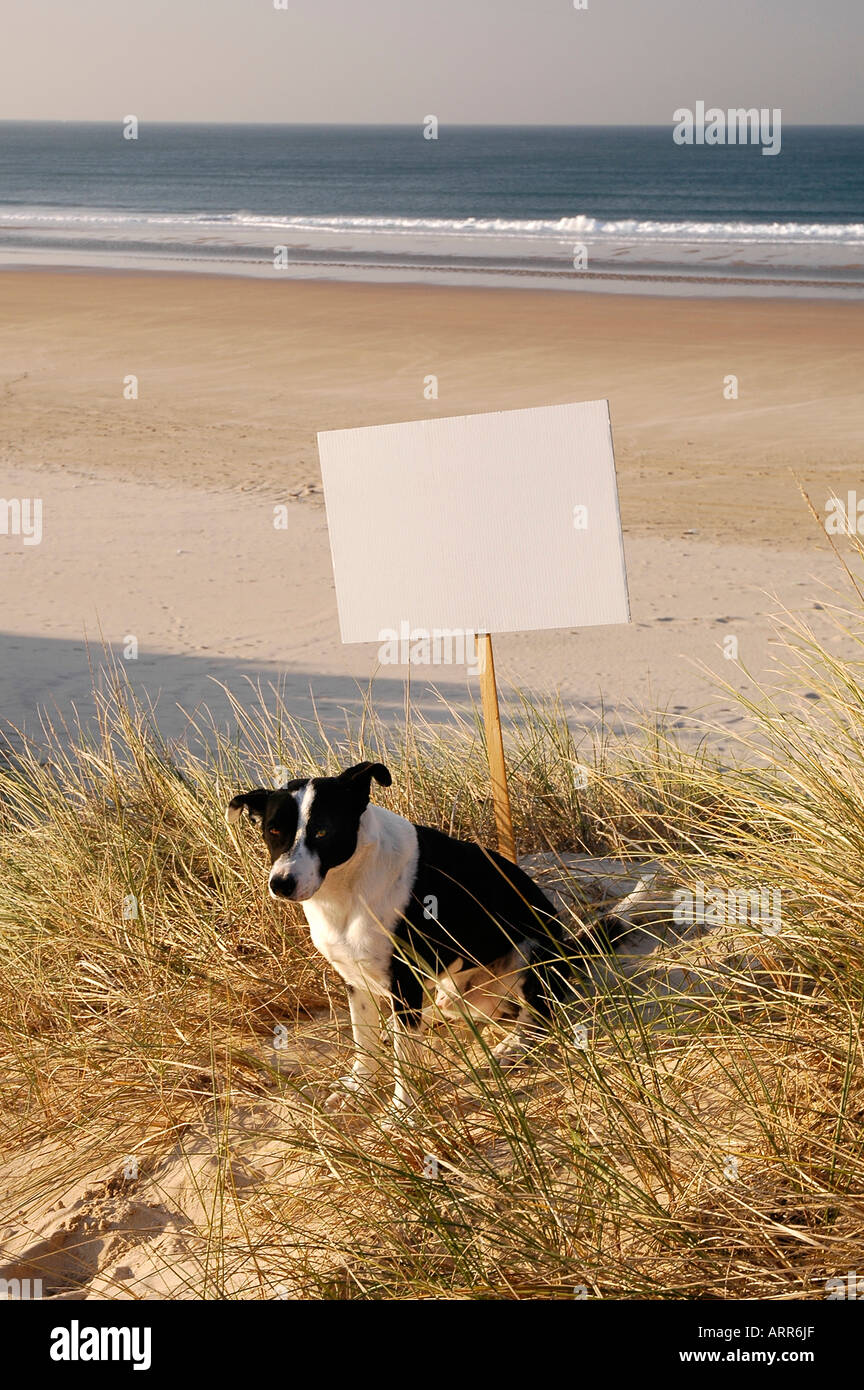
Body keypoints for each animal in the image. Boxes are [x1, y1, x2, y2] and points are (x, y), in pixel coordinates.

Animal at [223, 761, 616, 1117]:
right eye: (273, 831)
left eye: (321, 831)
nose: (281, 884)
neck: (347, 886)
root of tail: (571, 948)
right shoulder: (356, 979)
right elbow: (364, 1042)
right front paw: (359, 1087)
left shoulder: (405, 980)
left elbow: (405, 1061)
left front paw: (402, 1112)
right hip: (455, 991)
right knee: (444, 1010)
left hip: (529, 956)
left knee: (538, 1015)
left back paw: (511, 1046)